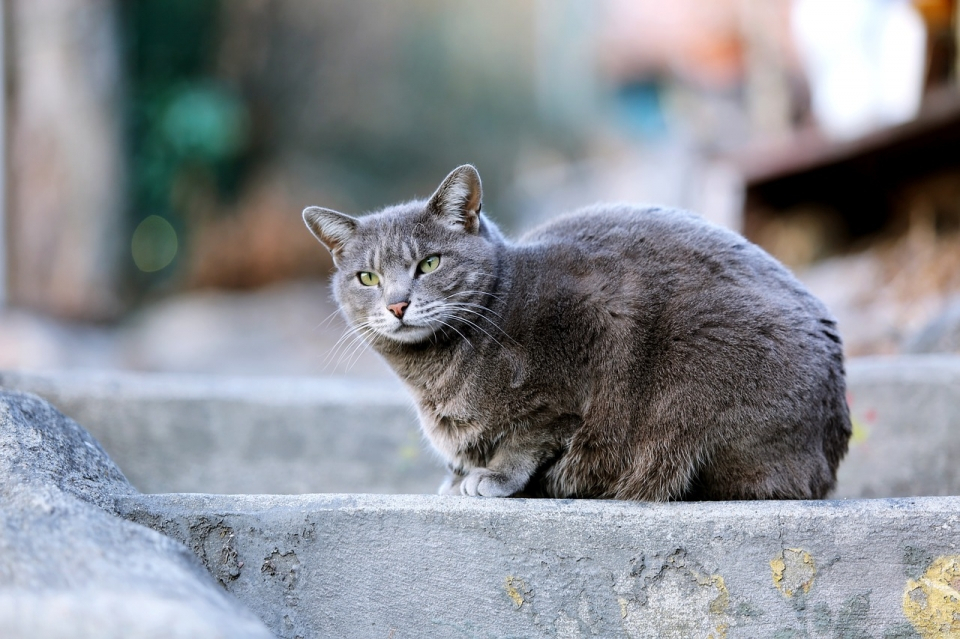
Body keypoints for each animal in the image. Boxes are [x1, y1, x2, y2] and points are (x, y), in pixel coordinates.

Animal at [304, 164, 852, 500]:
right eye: (367, 278)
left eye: (429, 263)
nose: (397, 304)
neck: (433, 376)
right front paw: (457, 478)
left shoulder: (586, 349)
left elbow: (529, 434)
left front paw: (492, 475)